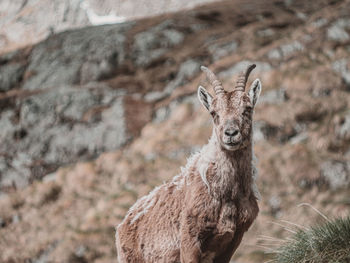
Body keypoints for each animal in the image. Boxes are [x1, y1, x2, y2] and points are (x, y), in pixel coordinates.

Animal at [116, 64, 262, 263]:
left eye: (247, 109)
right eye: (214, 113)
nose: (231, 133)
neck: (227, 192)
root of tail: (124, 223)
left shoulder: (233, 239)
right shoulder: (189, 238)